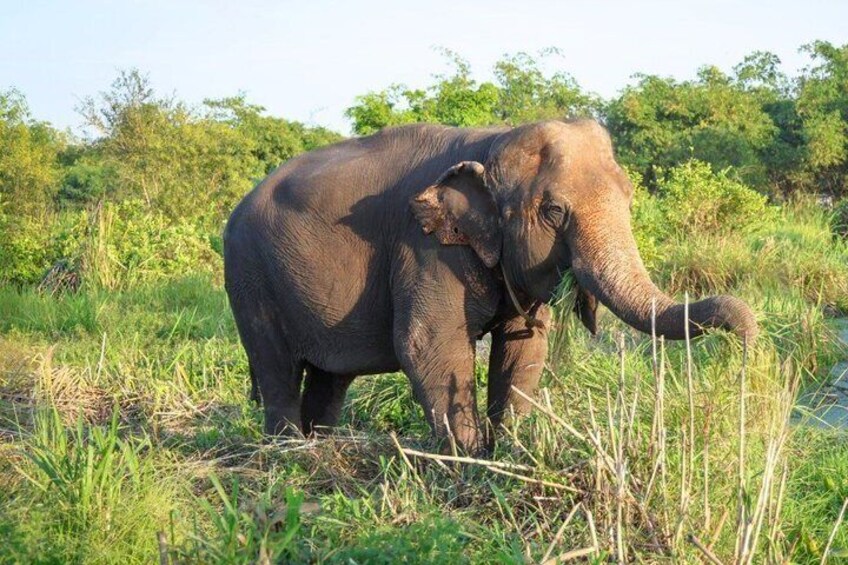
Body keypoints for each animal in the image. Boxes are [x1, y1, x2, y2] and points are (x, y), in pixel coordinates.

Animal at [223, 119, 757, 454]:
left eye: (629, 200)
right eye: (554, 211)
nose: (749, 350)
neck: (493, 142)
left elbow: (525, 348)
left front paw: (510, 454)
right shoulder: (424, 246)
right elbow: (428, 343)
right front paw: (469, 463)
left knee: (330, 379)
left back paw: (317, 446)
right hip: (248, 276)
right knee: (276, 367)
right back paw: (286, 453)